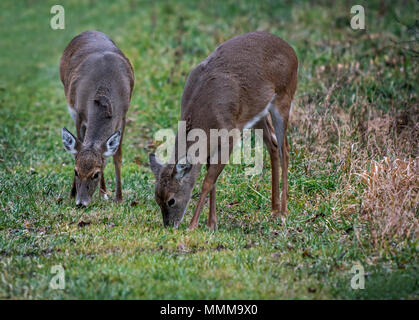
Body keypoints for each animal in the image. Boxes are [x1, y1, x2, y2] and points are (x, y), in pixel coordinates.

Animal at [59, 30, 133, 208]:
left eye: (96, 174)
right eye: (76, 171)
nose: (81, 202)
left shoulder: (123, 116)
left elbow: (116, 156)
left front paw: (118, 198)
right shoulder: (78, 113)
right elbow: (76, 150)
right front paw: (72, 193)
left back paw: (104, 192)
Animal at [149, 30, 296, 230]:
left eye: (171, 200)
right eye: (157, 198)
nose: (169, 225)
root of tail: (291, 50)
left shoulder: (230, 136)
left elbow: (208, 181)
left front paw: (193, 225)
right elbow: (212, 179)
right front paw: (212, 223)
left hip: (284, 98)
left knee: (285, 149)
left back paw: (284, 211)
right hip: (257, 113)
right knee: (273, 146)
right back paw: (274, 210)